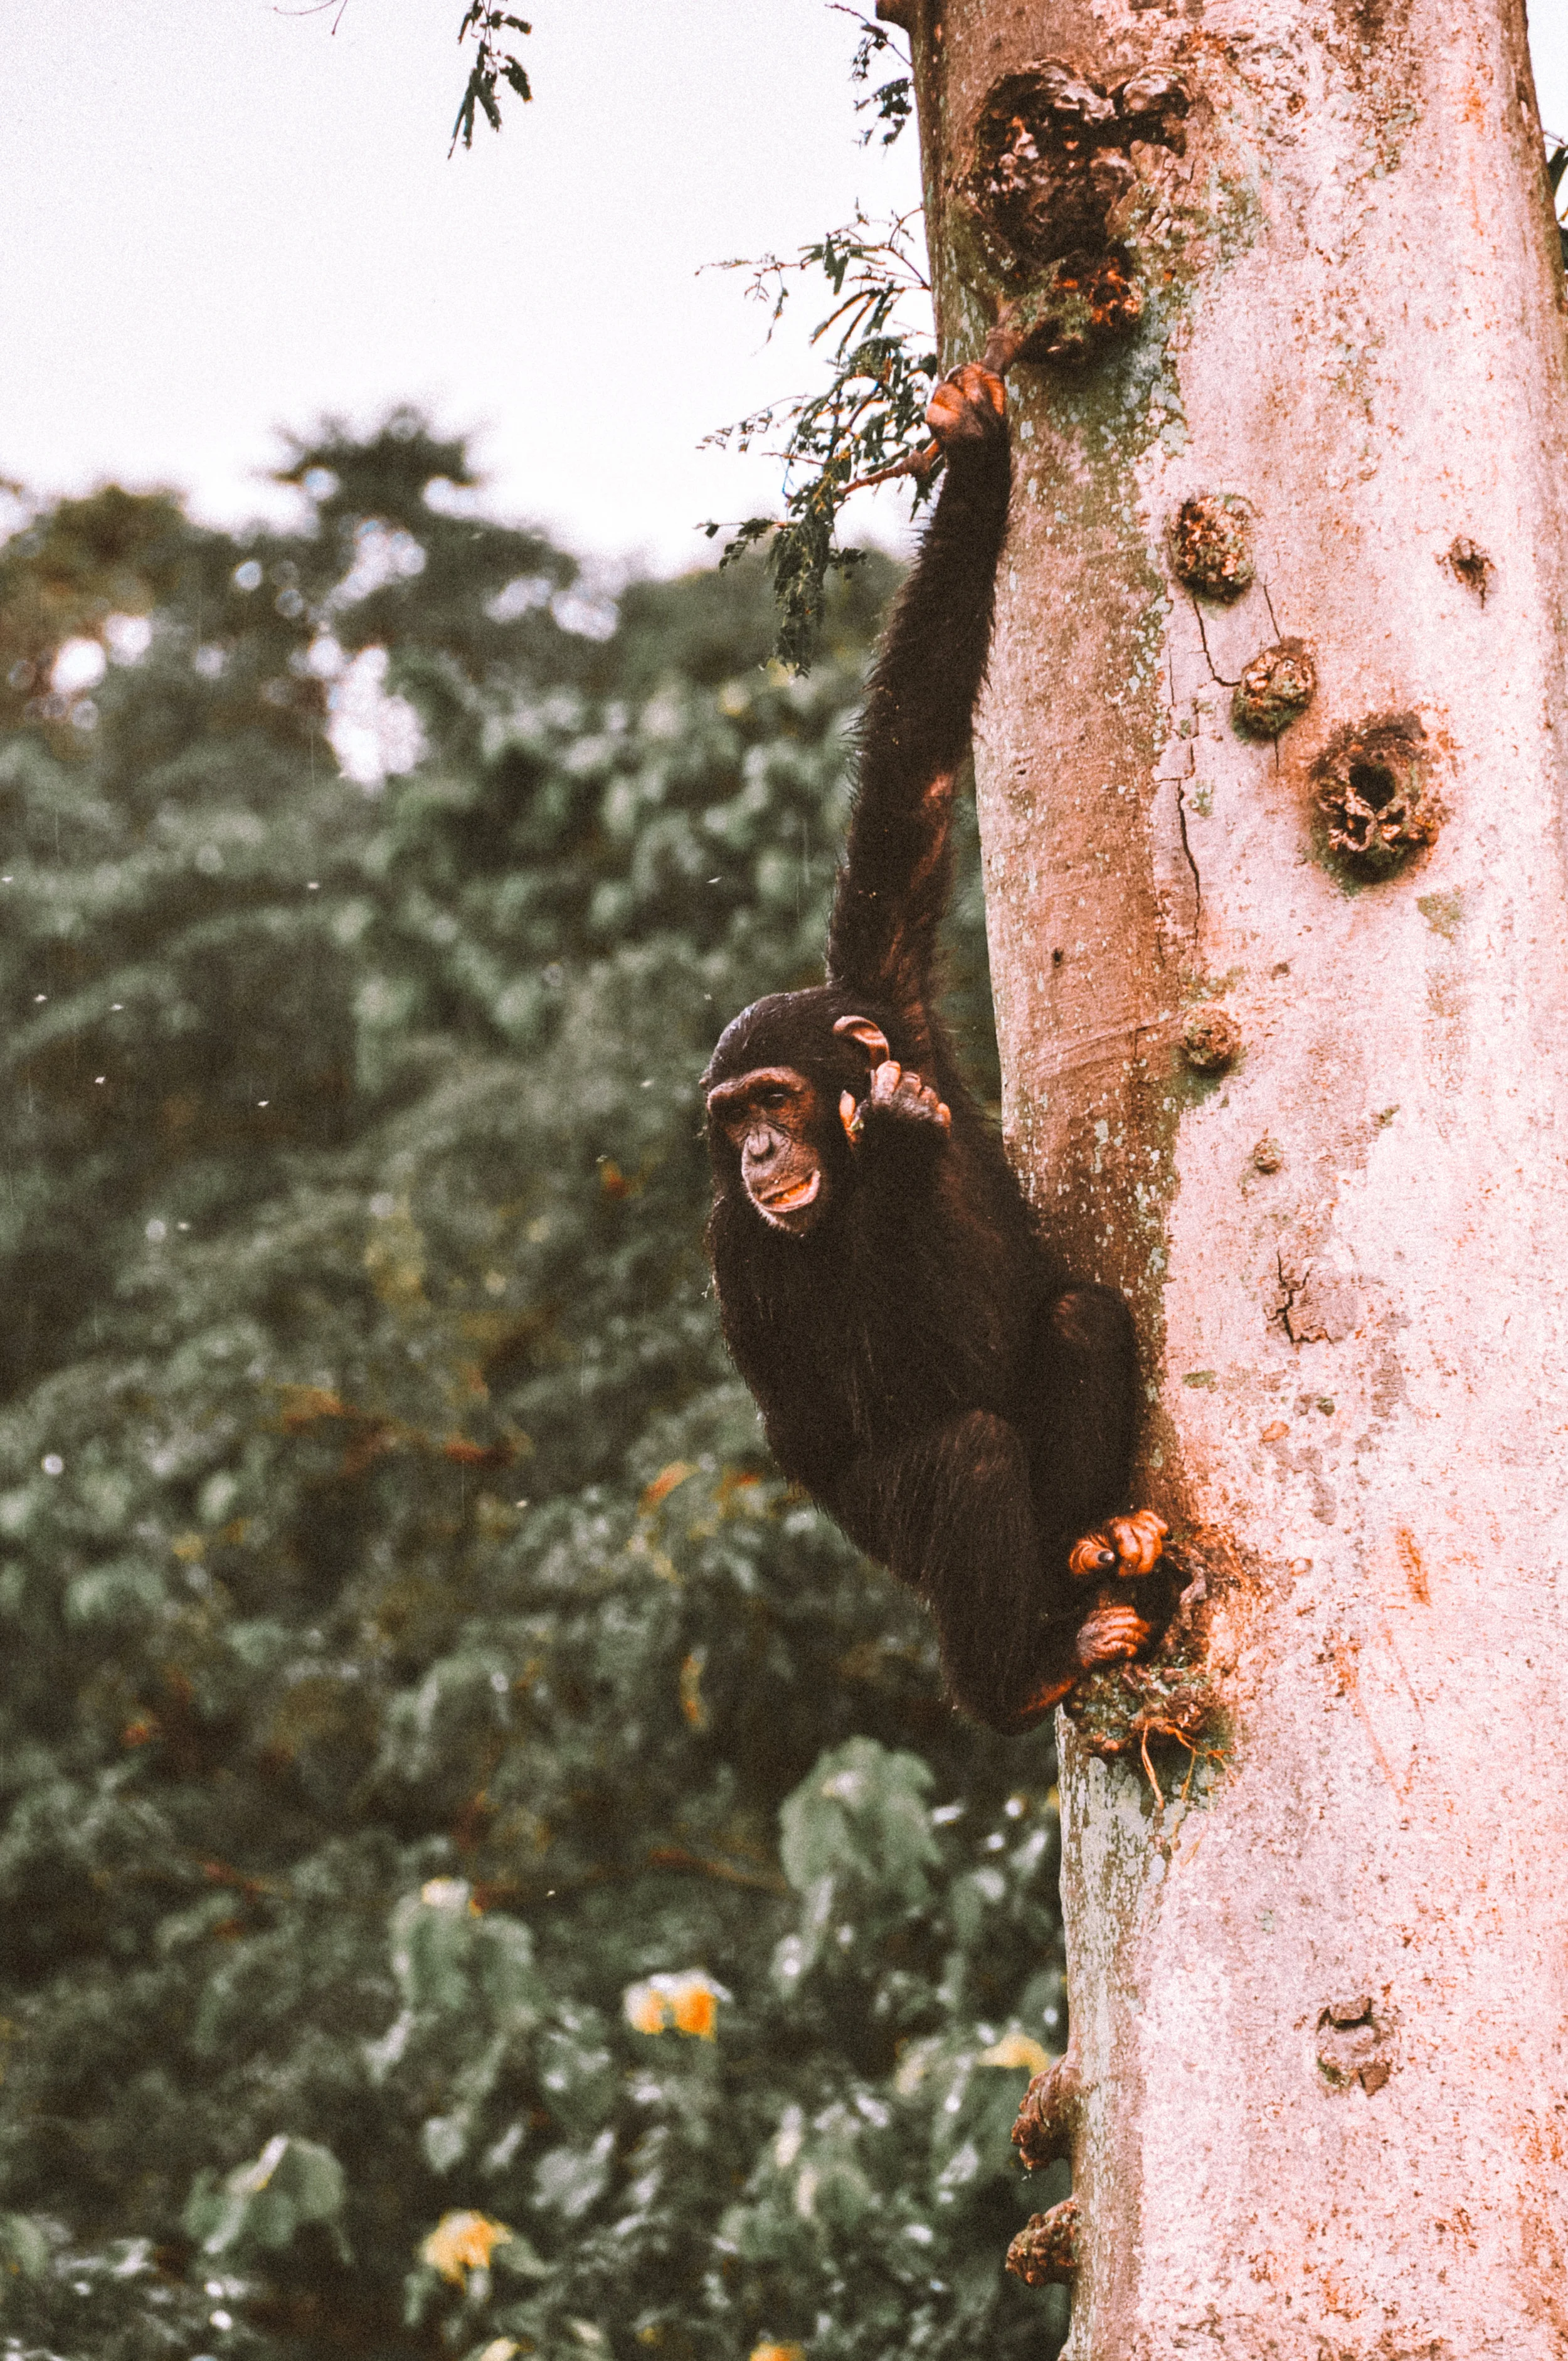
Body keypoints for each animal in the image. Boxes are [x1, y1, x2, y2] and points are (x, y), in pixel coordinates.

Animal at [702, 362, 1168, 1734]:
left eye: (771, 1097)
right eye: (729, 1118)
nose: (756, 1152)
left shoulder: (887, 975)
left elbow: (911, 755)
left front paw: (973, 450)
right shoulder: (734, 1247)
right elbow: (852, 1402)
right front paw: (902, 1144)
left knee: (1078, 1318)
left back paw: (1094, 1546)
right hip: (894, 1545)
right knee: (961, 1457)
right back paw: (1016, 1675)